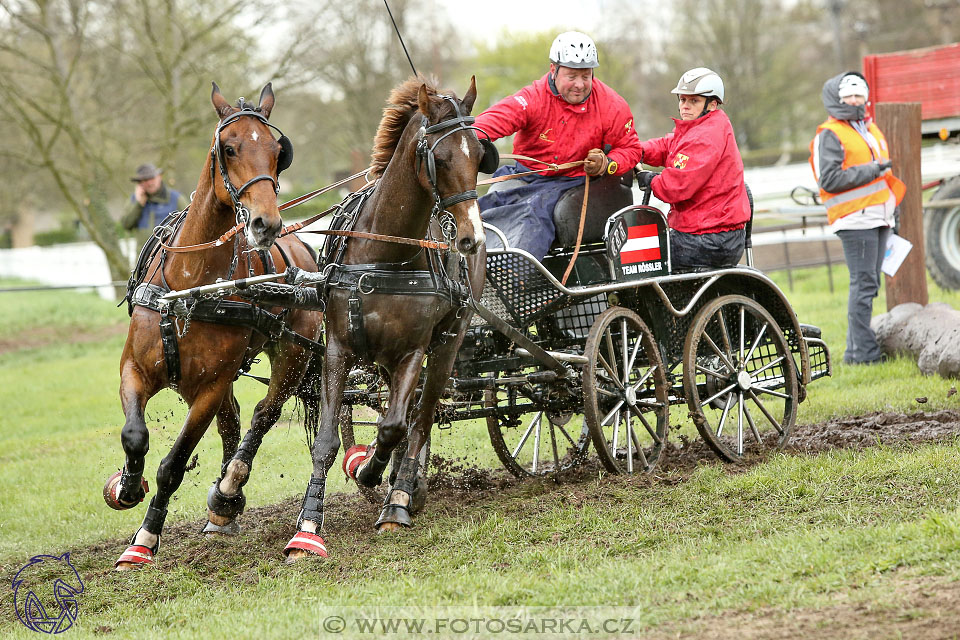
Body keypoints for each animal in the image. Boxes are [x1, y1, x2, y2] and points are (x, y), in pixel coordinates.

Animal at [103, 85, 324, 568]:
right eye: (229, 147)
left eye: (277, 152)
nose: (265, 223)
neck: (188, 286)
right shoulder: (137, 370)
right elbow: (135, 435)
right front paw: (126, 486)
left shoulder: (208, 387)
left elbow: (172, 465)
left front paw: (145, 538)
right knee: (233, 422)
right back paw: (224, 511)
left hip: (292, 354)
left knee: (262, 415)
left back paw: (227, 492)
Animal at [282, 77, 484, 564]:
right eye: (440, 158)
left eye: (479, 152)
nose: (471, 237)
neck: (386, 253)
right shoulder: (338, 348)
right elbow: (328, 442)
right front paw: (308, 526)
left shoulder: (414, 350)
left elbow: (395, 425)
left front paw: (377, 477)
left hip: (447, 345)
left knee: (421, 417)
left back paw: (400, 495)